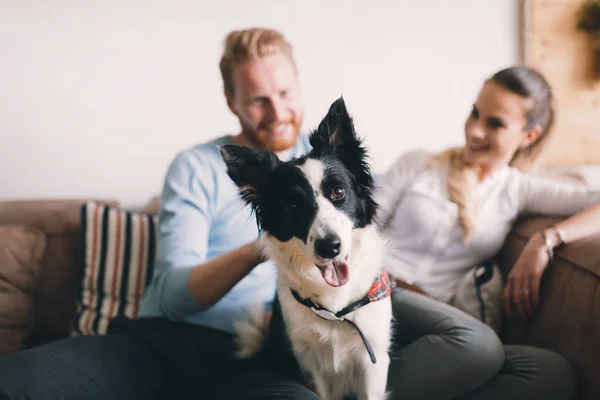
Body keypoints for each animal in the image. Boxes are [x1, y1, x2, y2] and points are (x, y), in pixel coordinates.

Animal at [221, 97, 394, 400]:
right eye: (291, 207)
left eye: (338, 192)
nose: (330, 247)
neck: (335, 308)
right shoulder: (310, 362)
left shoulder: (373, 358)